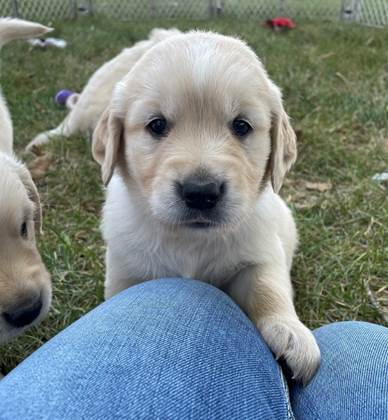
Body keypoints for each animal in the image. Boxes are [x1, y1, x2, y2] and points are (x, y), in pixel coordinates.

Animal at [92, 30, 320, 384]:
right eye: (157, 125)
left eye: (241, 126)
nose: (201, 192)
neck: (189, 239)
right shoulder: (126, 268)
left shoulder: (259, 253)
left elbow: (268, 288)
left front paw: (290, 332)